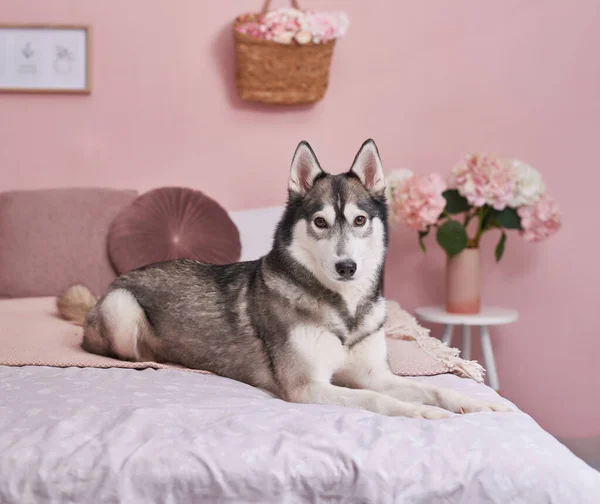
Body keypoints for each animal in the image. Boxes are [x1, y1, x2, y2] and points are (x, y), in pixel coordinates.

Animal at [59, 138, 510, 418]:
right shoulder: (307, 386)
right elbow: (374, 400)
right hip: (122, 312)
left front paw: (475, 403)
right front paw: (420, 412)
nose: (347, 267)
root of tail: (113, 285)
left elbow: (429, 387)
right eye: (320, 222)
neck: (344, 310)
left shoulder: (374, 375)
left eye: (360, 220)